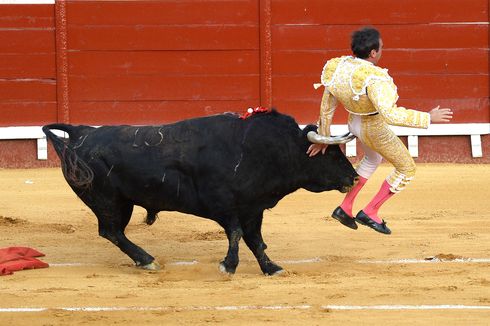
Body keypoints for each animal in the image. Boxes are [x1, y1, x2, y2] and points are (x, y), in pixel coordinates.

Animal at [43, 109, 356, 276]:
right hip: (109, 201)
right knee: (111, 231)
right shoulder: (224, 206)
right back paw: (147, 260)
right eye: (330, 153)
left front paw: (271, 267)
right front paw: (228, 266)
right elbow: (236, 234)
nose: (353, 177)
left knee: (112, 232)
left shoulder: (252, 208)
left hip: (119, 203)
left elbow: (256, 240)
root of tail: (81, 133)